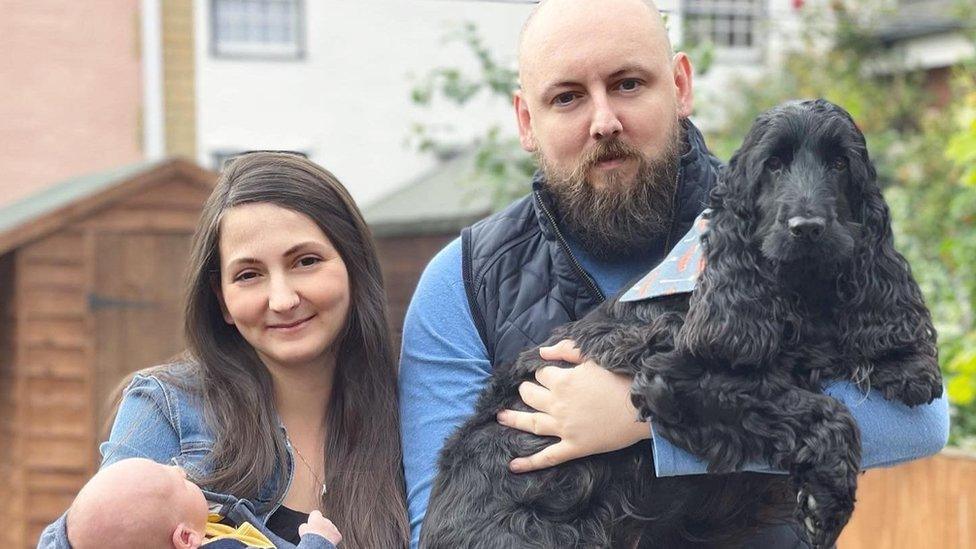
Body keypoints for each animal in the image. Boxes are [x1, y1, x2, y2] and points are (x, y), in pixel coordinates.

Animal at [422, 100, 944, 548]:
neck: (794, 290)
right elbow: (825, 411)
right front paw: (829, 499)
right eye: (773, 165)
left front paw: (906, 363)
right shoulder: (674, 379)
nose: (807, 228)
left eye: (839, 165)